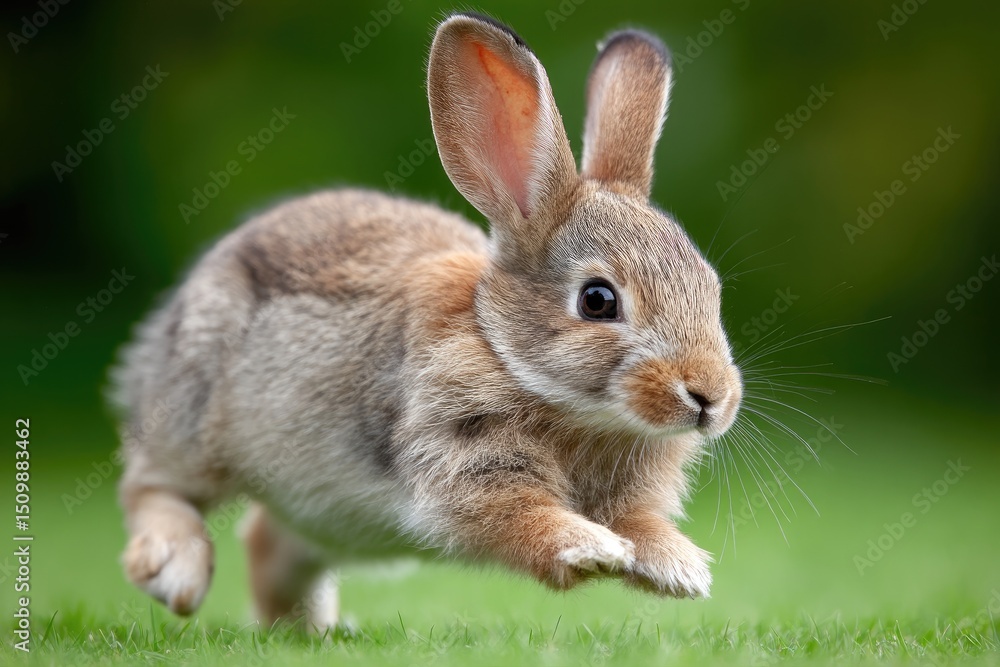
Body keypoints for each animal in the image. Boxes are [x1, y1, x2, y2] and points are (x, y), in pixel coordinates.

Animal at [111, 12, 743, 629]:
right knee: (153, 485)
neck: (501, 348)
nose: (711, 397)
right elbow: (518, 514)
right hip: (195, 411)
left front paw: (677, 567)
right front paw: (592, 547)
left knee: (269, 541)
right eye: (598, 301)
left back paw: (311, 629)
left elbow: (639, 521)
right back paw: (178, 573)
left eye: (711, 288)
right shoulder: (461, 456)